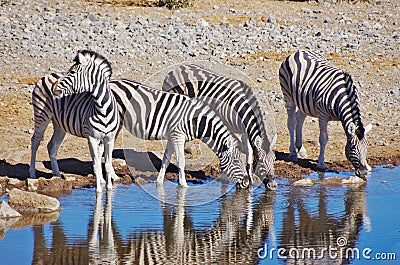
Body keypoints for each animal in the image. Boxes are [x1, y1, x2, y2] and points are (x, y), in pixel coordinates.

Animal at [29, 50, 119, 192]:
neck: (102, 108)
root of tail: (48, 75)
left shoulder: (109, 138)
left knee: (52, 146)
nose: (54, 88)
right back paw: (32, 174)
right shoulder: (92, 138)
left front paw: (109, 189)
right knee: (35, 141)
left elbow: (108, 165)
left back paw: (57, 175)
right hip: (41, 115)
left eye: (72, 72)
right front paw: (98, 191)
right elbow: (96, 166)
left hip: (59, 124)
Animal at [278, 49, 372, 177]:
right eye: (353, 147)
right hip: (288, 96)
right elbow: (323, 138)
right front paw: (321, 164)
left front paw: (368, 166)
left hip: (304, 100)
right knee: (291, 123)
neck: (341, 97)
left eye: (367, 145)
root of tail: (299, 51)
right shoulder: (323, 115)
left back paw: (300, 149)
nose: (363, 172)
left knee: (299, 119)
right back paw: (293, 153)